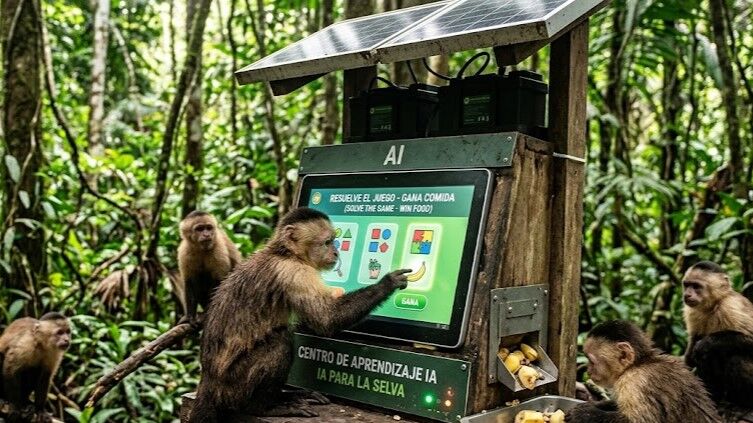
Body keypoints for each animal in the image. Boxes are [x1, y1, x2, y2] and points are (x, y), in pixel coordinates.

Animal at [187, 207, 410, 423]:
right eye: (328, 242)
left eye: (334, 241)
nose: (337, 252)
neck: (286, 254)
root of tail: (209, 381)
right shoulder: (295, 273)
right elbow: (326, 319)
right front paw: (387, 283)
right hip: (232, 386)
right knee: (281, 341)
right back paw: (264, 407)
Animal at [567, 320, 720, 423]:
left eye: (591, 361)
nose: (588, 371)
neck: (637, 364)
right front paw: (593, 404)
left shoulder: (635, 382)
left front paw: (583, 414)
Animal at [682, 261, 753, 417]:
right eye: (686, 285)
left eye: (696, 286)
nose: (687, 295)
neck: (713, 305)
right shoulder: (691, 311)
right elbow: (692, 347)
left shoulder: (732, 307)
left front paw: (707, 342)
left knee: (734, 357)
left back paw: (743, 405)